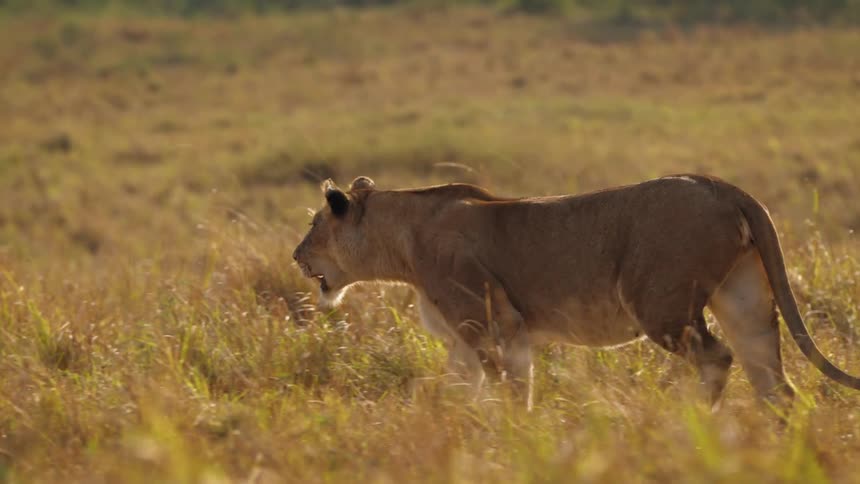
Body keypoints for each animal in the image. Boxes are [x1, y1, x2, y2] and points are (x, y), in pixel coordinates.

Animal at [293, 174, 860, 410]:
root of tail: (722, 186)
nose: (296, 256)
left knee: (718, 358)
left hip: (660, 305)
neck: (404, 239)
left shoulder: (487, 323)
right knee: (775, 382)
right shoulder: (480, 336)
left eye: (314, 226)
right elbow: (465, 390)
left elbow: (505, 387)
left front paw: (511, 434)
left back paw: (689, 422)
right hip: (745, 300)